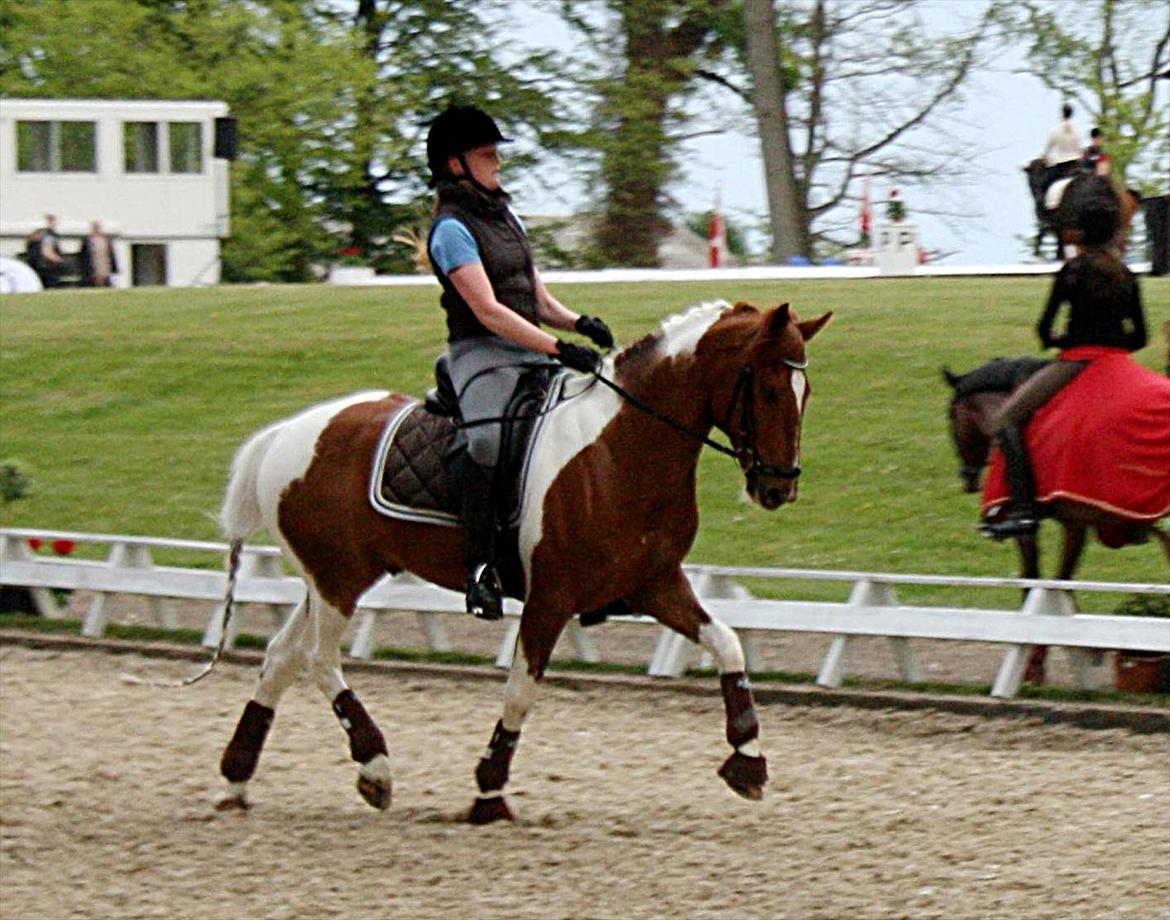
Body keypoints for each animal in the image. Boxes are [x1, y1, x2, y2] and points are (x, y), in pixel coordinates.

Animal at [212, 297, 833, 819]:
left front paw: (748, 760)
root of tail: (288, 431)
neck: (621, 451)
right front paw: (489, 790)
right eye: (770, 391)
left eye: (805, 394)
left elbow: (728, 645)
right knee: (319, 662)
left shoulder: (655, 584)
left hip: (335, 577)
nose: (780, 488)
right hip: (337, 579)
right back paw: (375, 767)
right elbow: (521, 690)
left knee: (281, 657)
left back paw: (238, 779)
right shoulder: (550, 599)